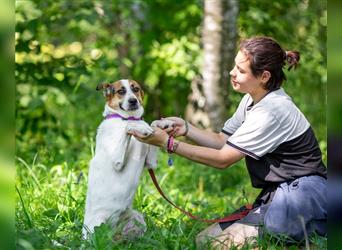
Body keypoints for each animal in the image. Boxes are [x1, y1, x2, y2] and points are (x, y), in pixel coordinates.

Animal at [83, 79, 174, 239]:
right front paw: (140, 127)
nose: (133, 101)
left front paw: (162, 123)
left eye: (135, 89)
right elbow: (130, 126)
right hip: (96, 227)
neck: (124, 118)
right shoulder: (117, 162)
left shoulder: (151, 162)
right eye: (121, 91)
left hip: (137, 218)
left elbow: (152, 124)